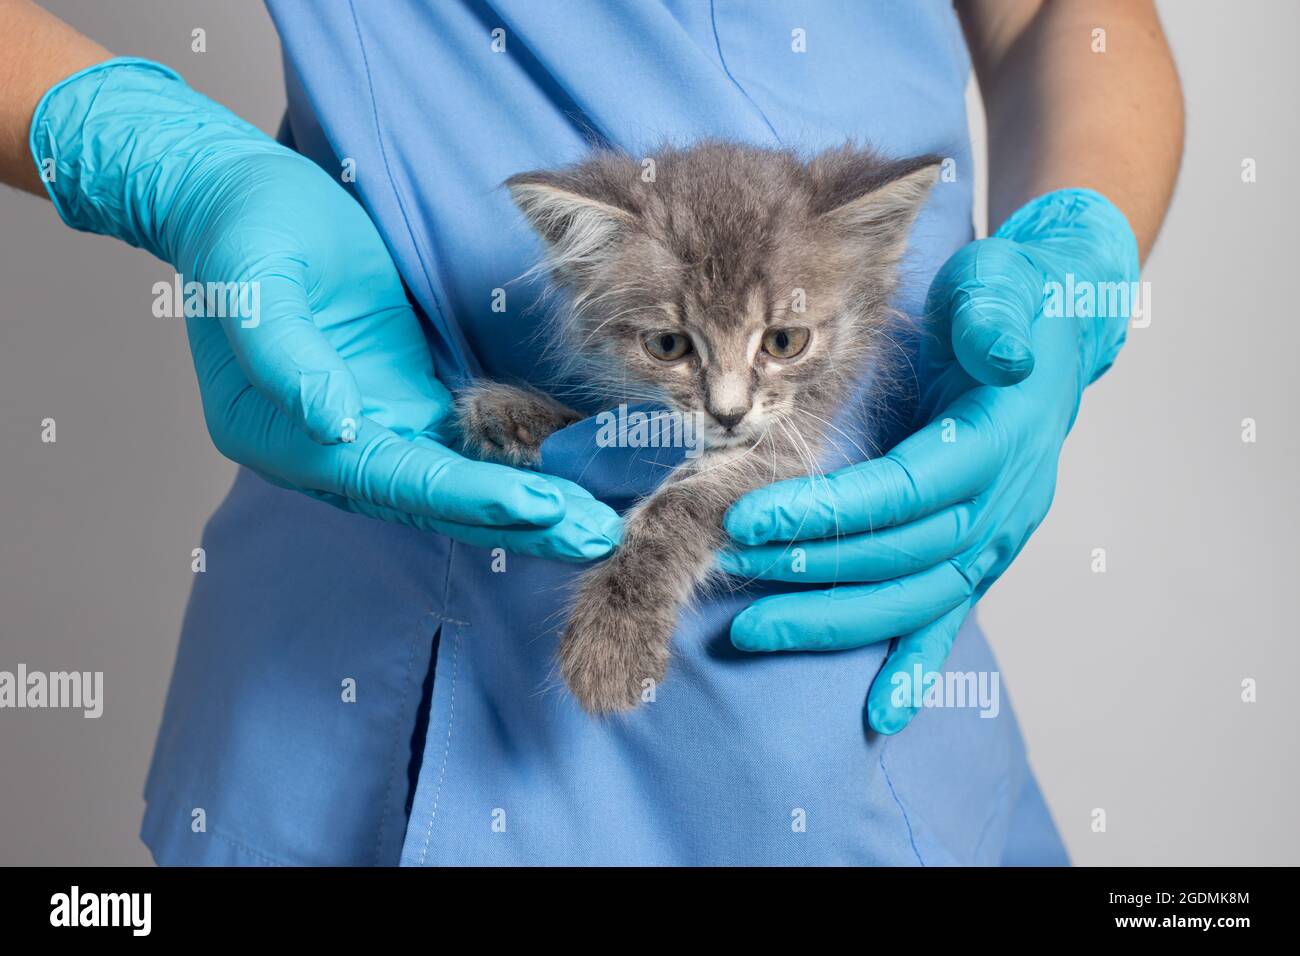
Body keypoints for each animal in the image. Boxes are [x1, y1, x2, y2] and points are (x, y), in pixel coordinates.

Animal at [457, 140, 935, 712]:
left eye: (784, 341)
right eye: (668, 345)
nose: (728, 413)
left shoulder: (802, 440)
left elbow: (680, 503)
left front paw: (613, 636)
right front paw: (518, 416)